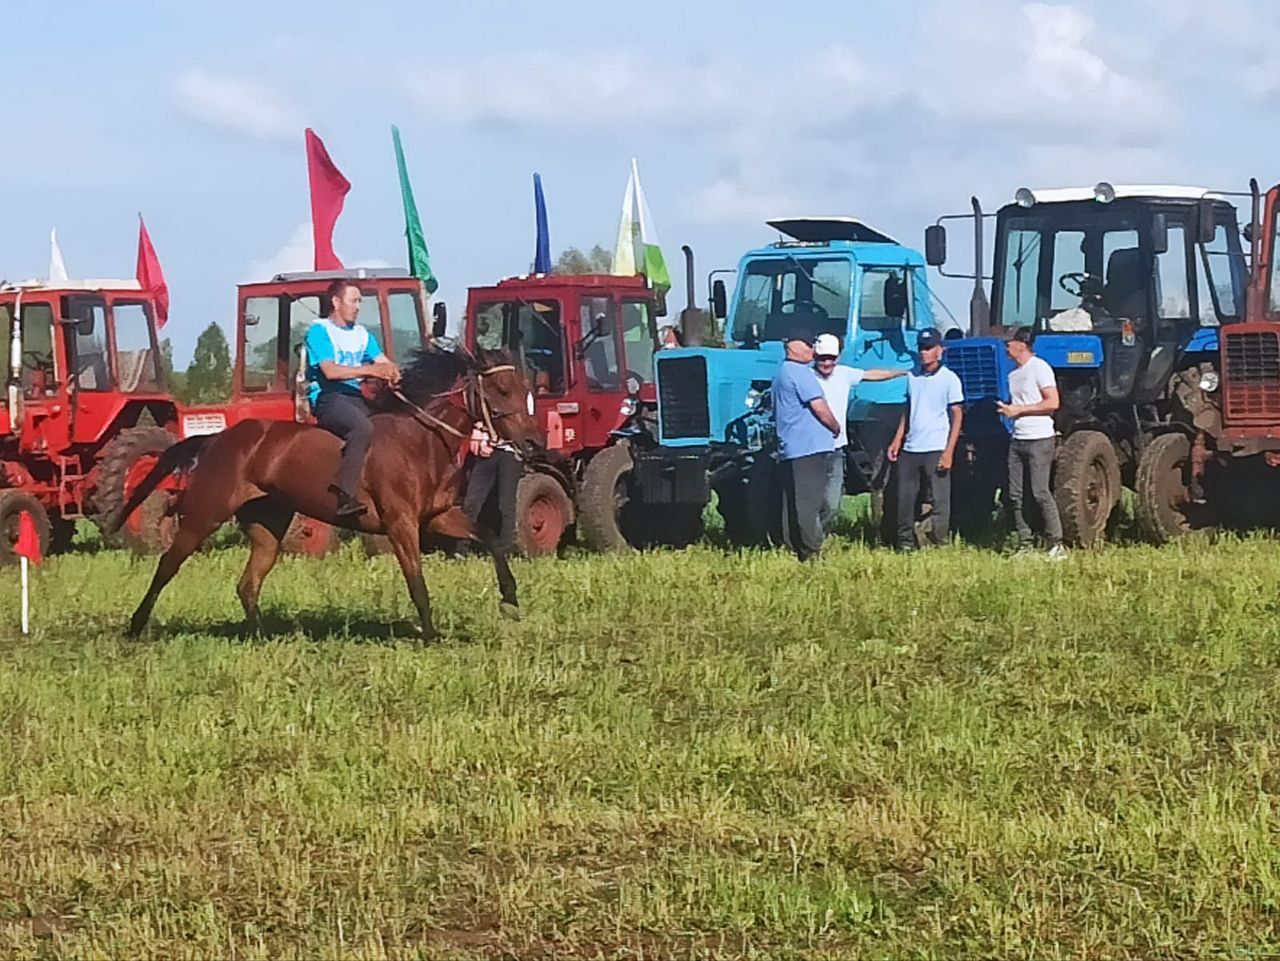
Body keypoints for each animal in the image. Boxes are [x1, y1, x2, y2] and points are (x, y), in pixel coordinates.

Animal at [113, 345, 545, 639]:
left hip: (267, 526)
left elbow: (489, 536)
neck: (421, 440)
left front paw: (510, 599)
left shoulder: (438, 517)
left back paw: (262, 636)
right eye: (501, 388)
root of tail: (218, 438)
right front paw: (430, 634)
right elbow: (416, 581)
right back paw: (136, 625)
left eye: (523, 386)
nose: (533, 442)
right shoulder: (401, 524)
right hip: (206, 512)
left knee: (247, 584)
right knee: (168, 564)